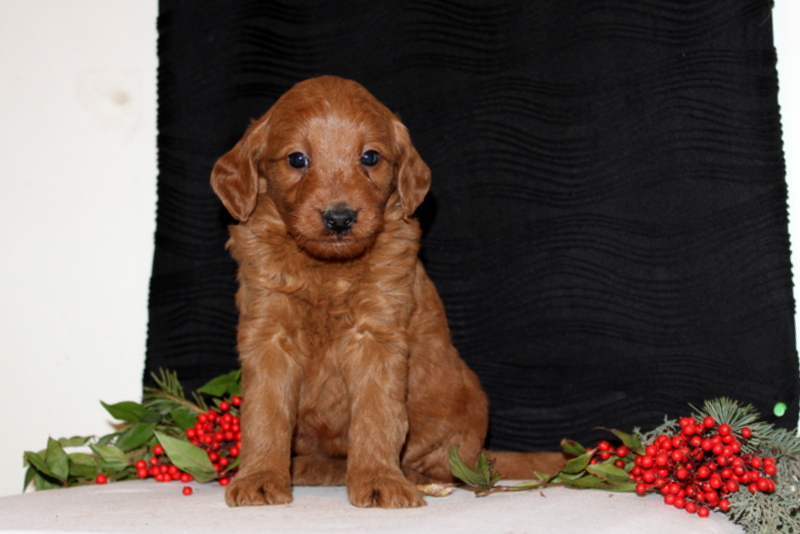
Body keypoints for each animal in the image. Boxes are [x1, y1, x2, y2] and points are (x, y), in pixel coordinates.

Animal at [209, 76, 564, 510]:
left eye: (370, 157)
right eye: (297, 160)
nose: (340, 218)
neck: (328, 269)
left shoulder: (377, 333)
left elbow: (377, 414)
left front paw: (379, 479)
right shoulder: (269, 331)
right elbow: (265, 412)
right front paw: (260, 477)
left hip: (467, 406)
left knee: (441, 466)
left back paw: (402, 475)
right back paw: (308, 466)